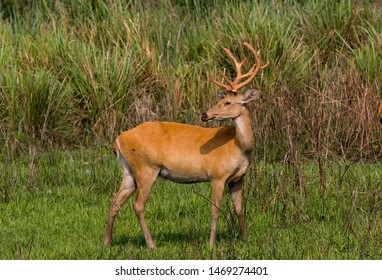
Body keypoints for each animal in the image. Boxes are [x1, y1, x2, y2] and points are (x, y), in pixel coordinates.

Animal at [101, 42, 268, 249]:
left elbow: (239, 209)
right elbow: (215, 210)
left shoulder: (238, 178)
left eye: (228, 102)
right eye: (221, 100)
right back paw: (151, 245)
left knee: (115, 200)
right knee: (138, 204)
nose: (205, 115)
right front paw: (211, 245)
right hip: (146, 167)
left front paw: (246, 239)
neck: (239, 146)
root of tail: (118, 140)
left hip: (129, 169)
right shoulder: (218, 174)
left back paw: (106, 242)